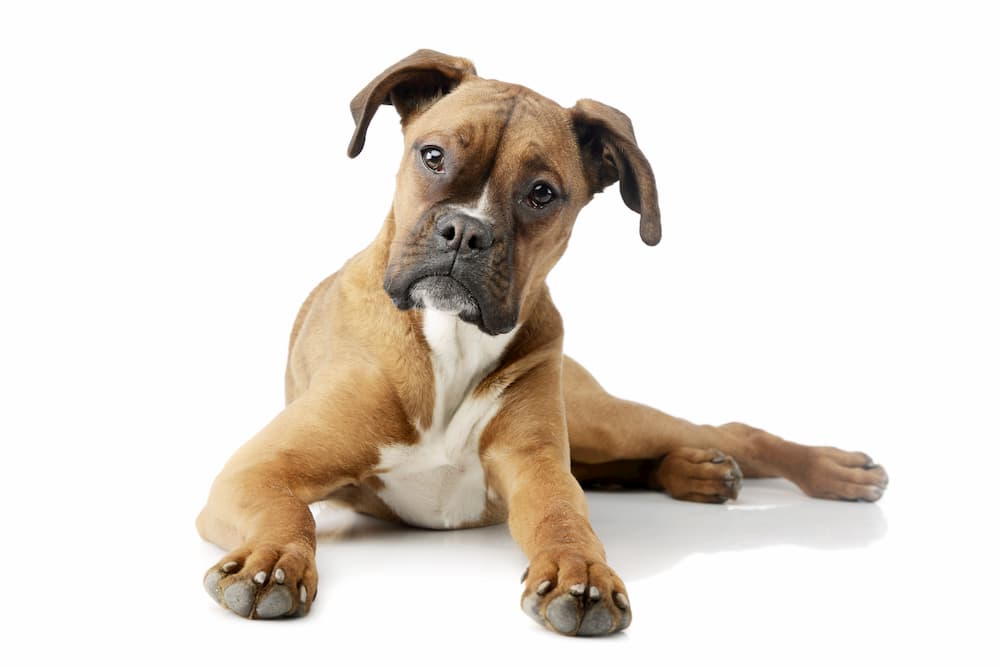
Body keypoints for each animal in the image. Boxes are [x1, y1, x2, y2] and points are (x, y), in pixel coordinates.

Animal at [195, 49, 892, 636]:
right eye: (432, 156)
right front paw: (273, 560)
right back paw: (699, 472)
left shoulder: (537, 468)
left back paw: (828, 470)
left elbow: (564, 516)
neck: (450, 339)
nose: (464, 231)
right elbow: (291, 513)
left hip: (600, 419)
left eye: (542, 194)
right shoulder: (258, 471)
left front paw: (580, 571)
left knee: (730, 432)